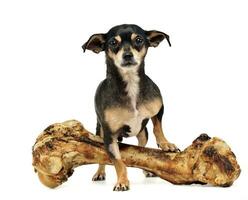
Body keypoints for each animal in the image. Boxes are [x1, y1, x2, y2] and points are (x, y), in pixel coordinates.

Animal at [83, 23, 178, 191]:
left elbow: (158, 127)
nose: (127, 55)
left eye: (139, 40)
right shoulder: (109, 137)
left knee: (142, 149)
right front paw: (122, 181)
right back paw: (100, 173)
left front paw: (165, 144)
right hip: (99, 132)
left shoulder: (159, 109)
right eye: (113, 42)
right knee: (102, 158)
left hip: (143, 134)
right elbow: (118, 162)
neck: (131, 84)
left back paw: (147, 170)